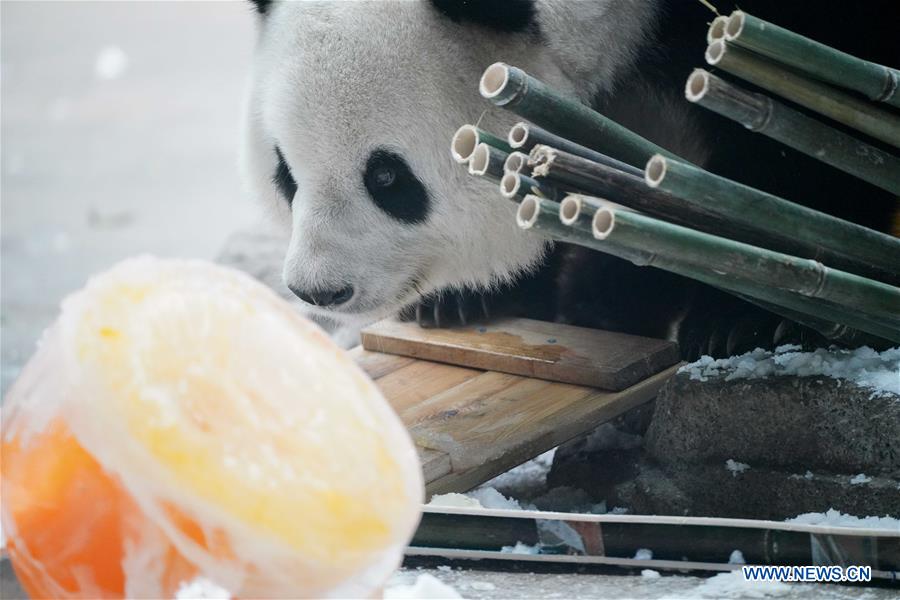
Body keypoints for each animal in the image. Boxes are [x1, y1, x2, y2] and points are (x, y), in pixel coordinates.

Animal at [241, 0, 900, 360]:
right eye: (286, 174)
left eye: (386, 177)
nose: (319, 291)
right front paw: (466, 298)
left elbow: (806, 129)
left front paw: (746, 319)